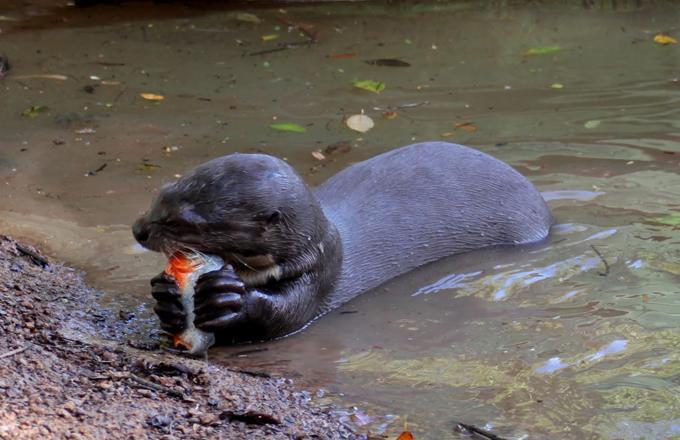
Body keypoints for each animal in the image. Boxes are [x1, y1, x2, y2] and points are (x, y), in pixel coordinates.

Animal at [131, 143, 552, 342]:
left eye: (185, 220)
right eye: (163, 192)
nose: (138, 229)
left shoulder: (319, 271)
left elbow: (287, 314)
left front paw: (229, 300)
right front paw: (166, 298)